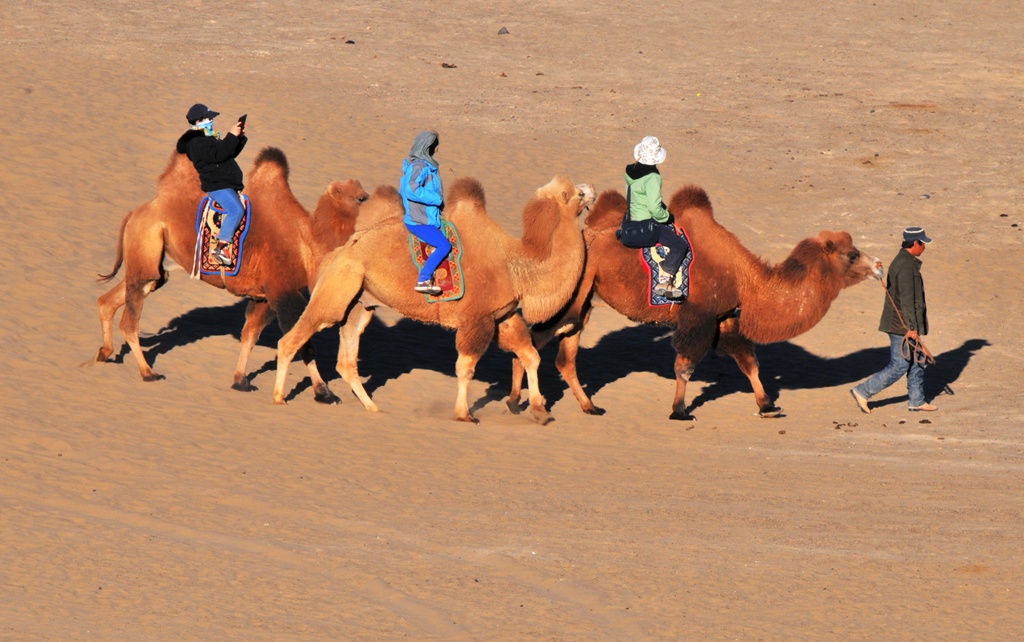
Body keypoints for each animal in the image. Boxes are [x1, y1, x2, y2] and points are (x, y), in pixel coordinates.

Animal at [94, 145, 370, 399]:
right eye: (361, 198)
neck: (308, 243)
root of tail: (136, 212)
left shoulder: (264, 297)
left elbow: (250, 336)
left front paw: (240, 380)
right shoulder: (283, 291)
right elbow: (302, 343)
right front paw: (324, 392)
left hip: (152, 262)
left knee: (113, 298)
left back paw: (104, 353)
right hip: (147, 243)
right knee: (130, 320)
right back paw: (148, 373)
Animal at [276, 176, 598, 423]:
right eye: (578, 193)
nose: (593, 188)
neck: (516, 267)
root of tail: (340, 250)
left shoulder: (501, 316)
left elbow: (530, 355)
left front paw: (540, 410)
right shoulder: (476, 320)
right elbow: (466, 368)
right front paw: (464, 414)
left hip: (359, 302)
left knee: (346, 360)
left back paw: (374, 408)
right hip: (336, 291)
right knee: (291, 340)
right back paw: (279, 399)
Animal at [507, 186, 884, 419]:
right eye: (852, 255)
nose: (879, 265)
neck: (745, 277)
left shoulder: (725, 315)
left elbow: (749, 362)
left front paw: (767, 406)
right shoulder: (698, 316)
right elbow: (685, 366)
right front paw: (679, 410)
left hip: (584, 302)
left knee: (562, 355)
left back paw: (586, 407)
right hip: (571, 297)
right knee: (536, 340)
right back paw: (519, 402)